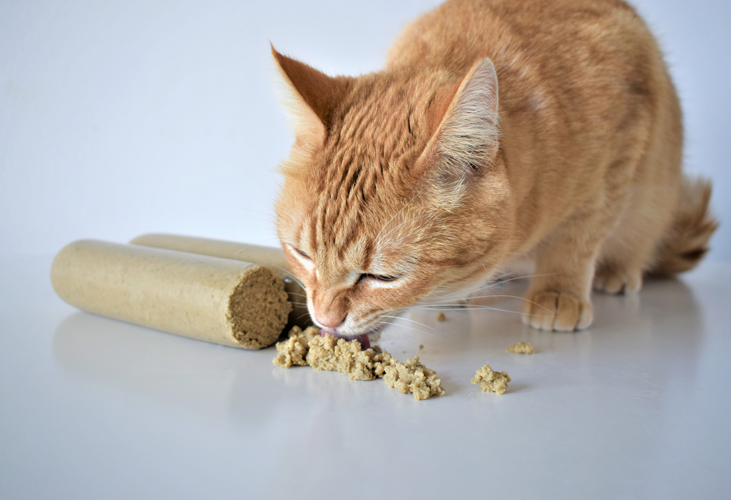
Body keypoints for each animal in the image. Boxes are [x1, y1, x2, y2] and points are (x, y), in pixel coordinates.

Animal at [272, 0, 717, 337]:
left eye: (383, 277)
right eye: (302, 254)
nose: (325, 319)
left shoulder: (620, 154)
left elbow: (577, 237)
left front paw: (560, 289)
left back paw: (617, 269)